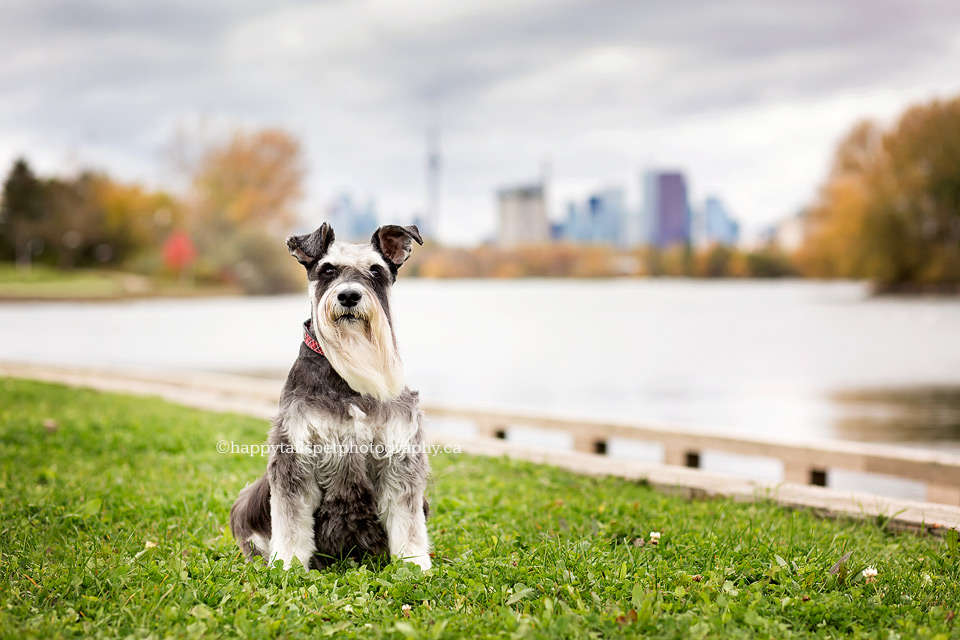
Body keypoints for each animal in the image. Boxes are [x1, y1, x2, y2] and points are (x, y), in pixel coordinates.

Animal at [229, 221, 432, 568]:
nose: (349, 295)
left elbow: (407, 519)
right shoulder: (295, 454)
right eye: (327, 270)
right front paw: (287, 565)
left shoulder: (399, 455)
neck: (348, 375)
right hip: (250, 500)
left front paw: (414, 563)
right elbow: (291, 520)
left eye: (376, 271)